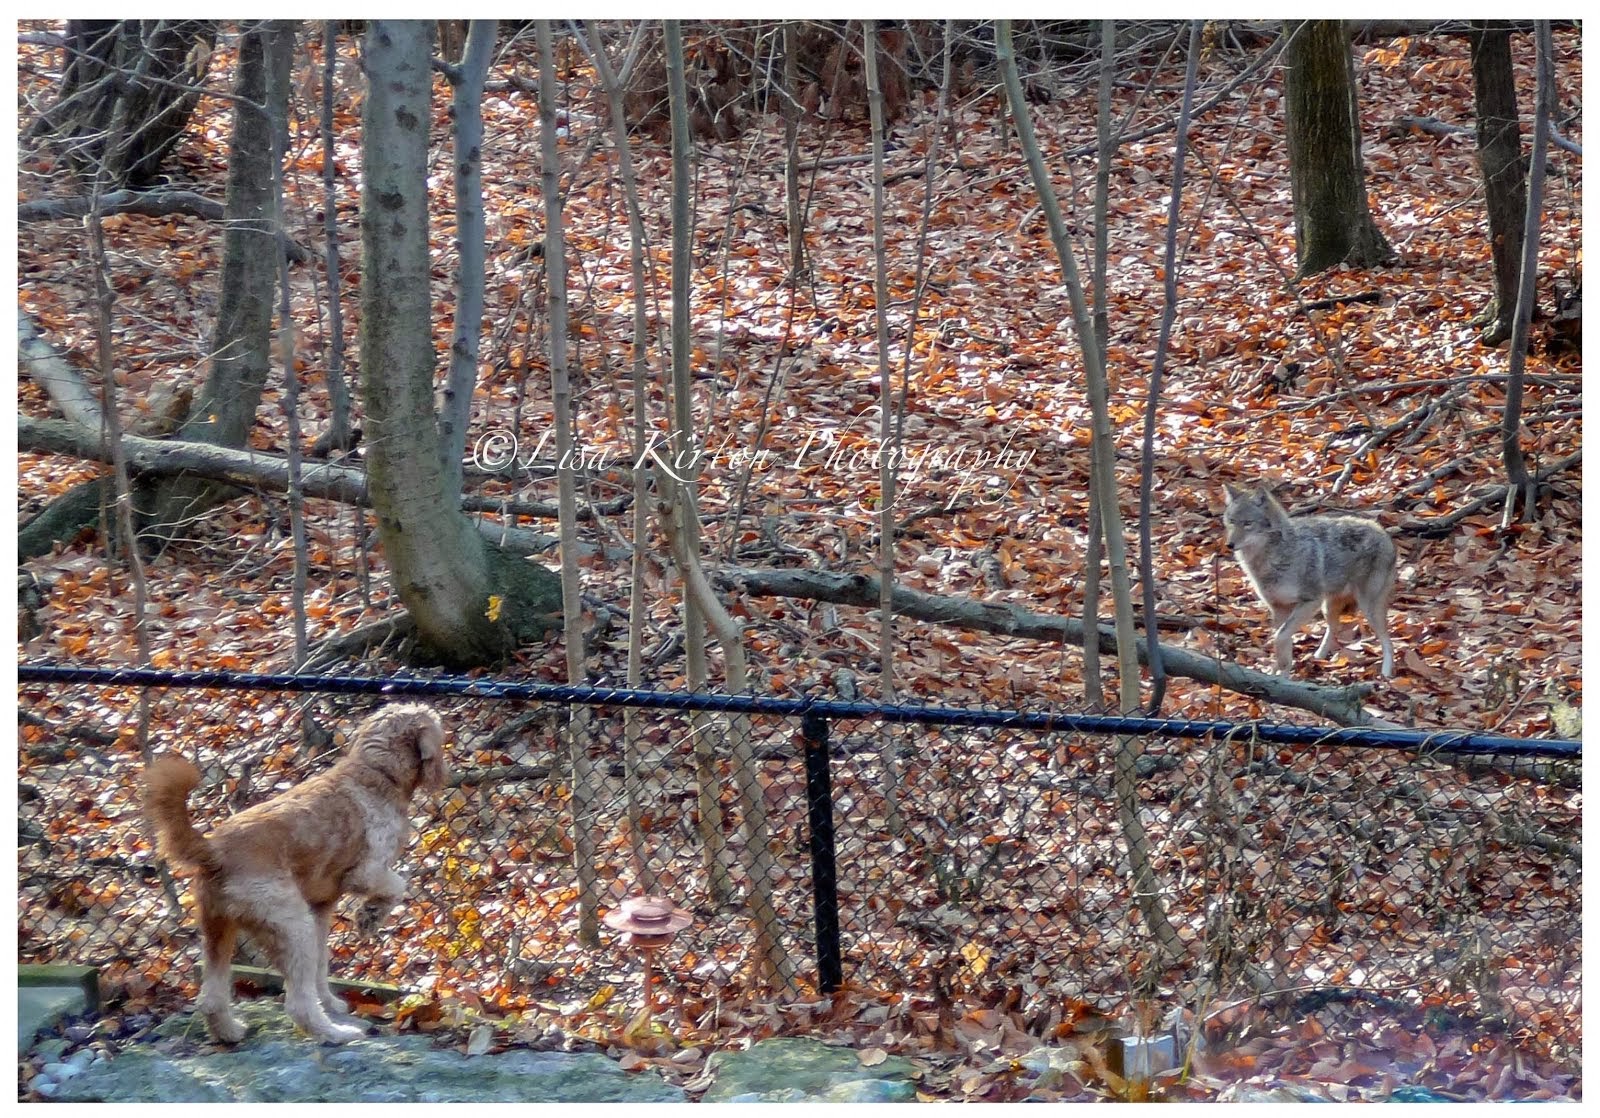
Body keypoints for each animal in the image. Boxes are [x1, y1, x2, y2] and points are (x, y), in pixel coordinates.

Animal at [144, 703, 444, 1042]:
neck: (377, 771)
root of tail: (213, 850)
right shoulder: (367, 872)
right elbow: (398, 885)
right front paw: (370, 916)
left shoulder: (320, 909)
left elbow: (322, 965)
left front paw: (330, 1001)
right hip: (293, 926)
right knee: (298, 1004)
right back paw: (337, 1033)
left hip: (220, 930)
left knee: (211, 998)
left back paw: (231, 1032)